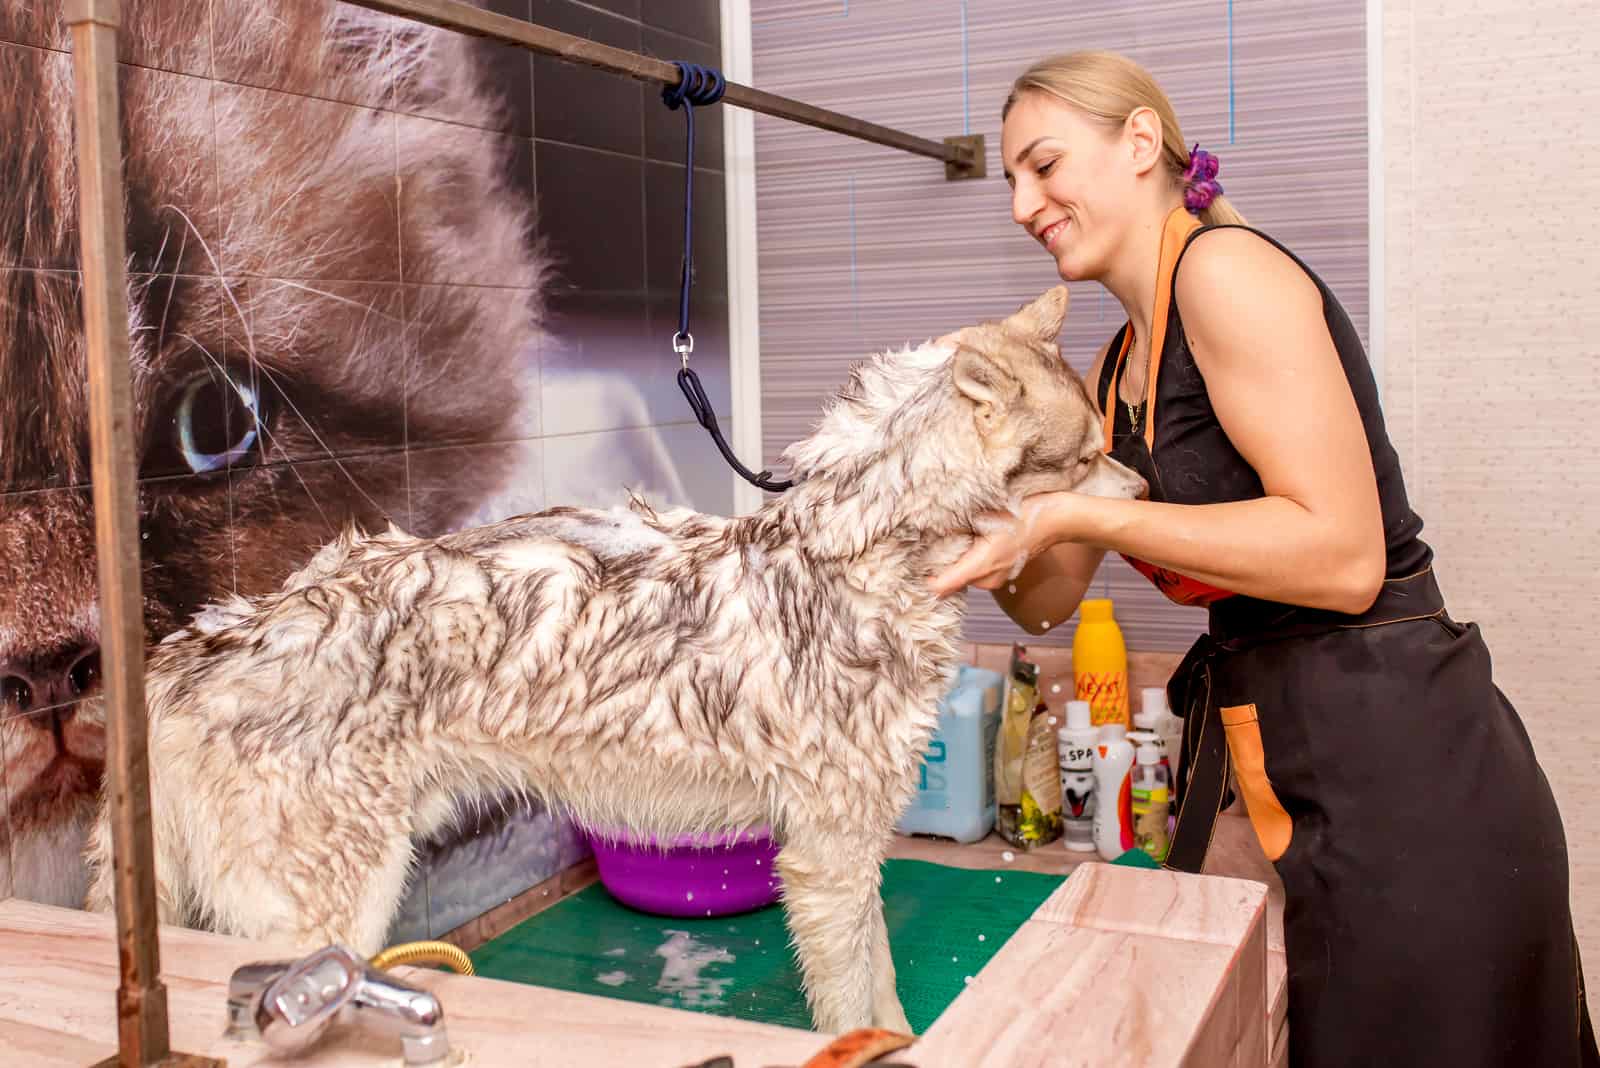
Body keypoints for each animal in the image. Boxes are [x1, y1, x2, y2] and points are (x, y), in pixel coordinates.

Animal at [84, 286, 1152, 1036]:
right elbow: (868, 1005)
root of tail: (179, 659)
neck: (860, 550)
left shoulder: (837, 854)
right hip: (329, 924)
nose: (1150, 493)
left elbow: (880, 993)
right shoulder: (831, 858)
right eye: (1088, 453)